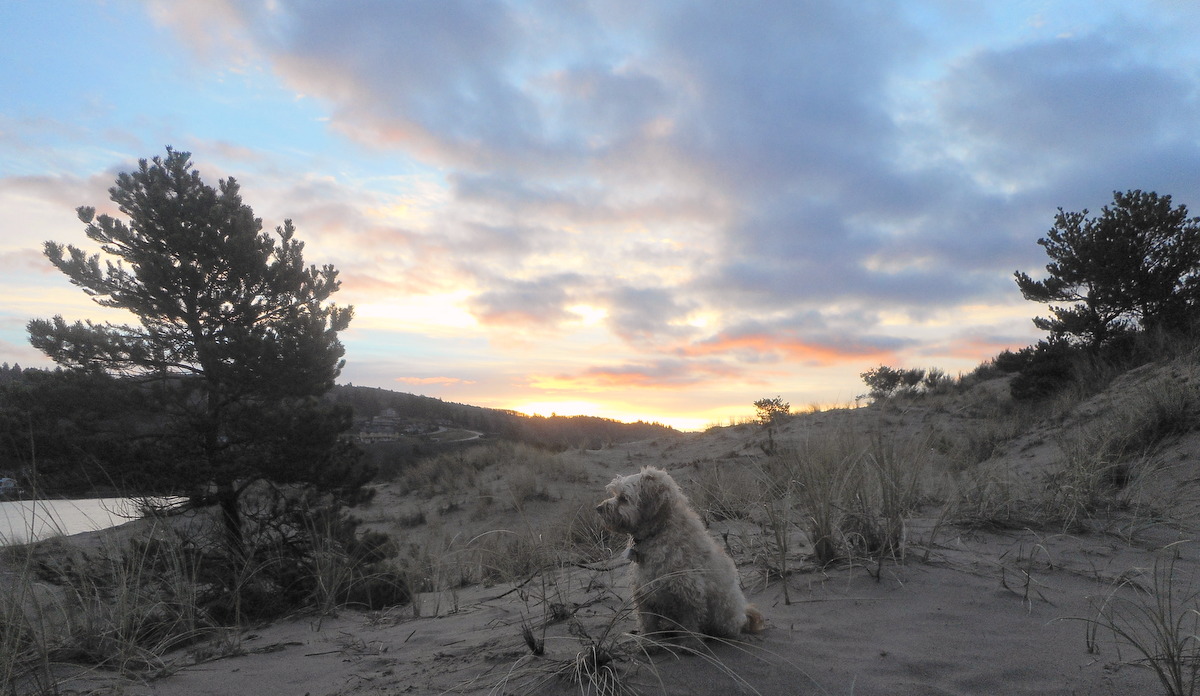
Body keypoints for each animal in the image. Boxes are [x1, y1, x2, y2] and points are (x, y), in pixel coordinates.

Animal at [595, 465, 763, 643]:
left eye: (623, 498)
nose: (598, 508)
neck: (659, 531)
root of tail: (742, 615)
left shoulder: (688, 593)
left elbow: (689, 625)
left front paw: (689, 644)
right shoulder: (643, 592)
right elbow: (647, 622)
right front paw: (649, 643)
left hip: (723, 615)